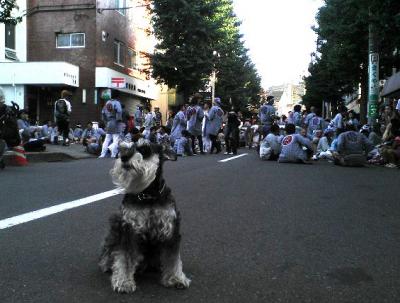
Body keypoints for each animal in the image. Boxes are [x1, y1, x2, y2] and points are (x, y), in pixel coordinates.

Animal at [97, 141, 190, 294]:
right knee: (110, 251)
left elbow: (173, 257)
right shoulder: (128, 230)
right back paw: (106, 264)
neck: (148, 196)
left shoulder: (171, 229)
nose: (124, 157)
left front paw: (175, 278)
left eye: (145, 149)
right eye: (123, 148)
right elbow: (124, 257)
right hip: (114, 225)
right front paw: (124, 282)